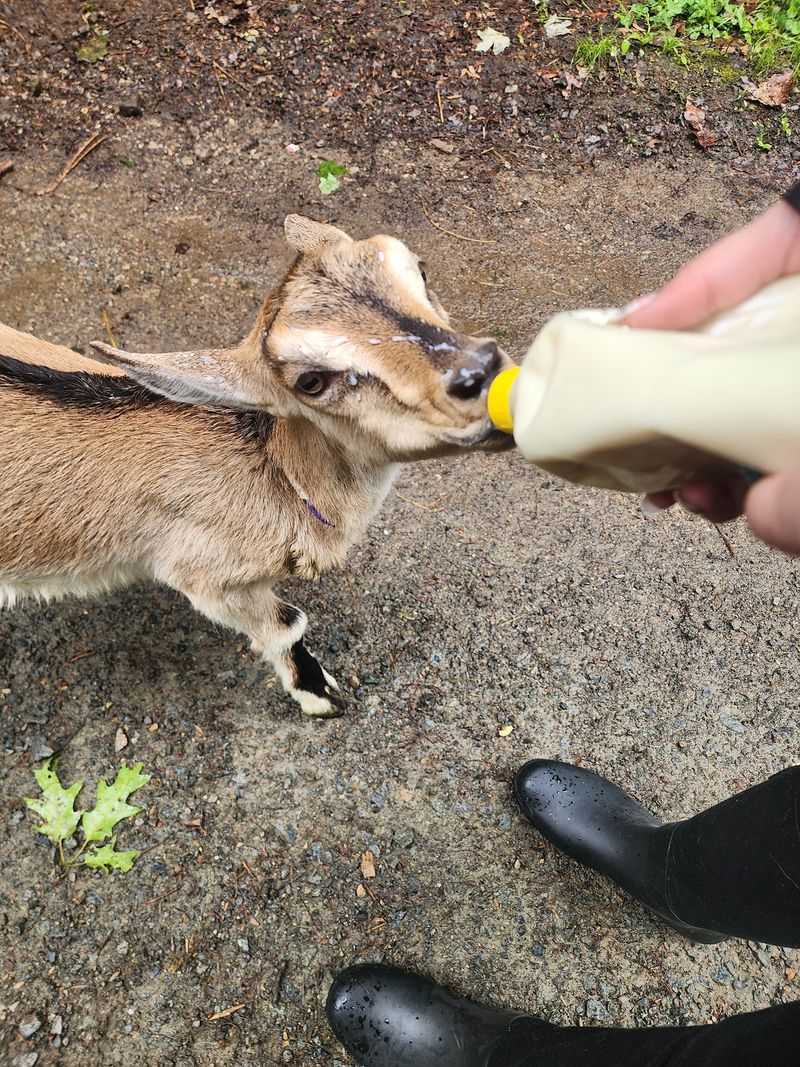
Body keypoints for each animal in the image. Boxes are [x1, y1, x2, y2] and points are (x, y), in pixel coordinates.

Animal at [0, 215, 512, 717]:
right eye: (310, 381)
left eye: (421, 273)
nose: (483, 373)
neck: (275, 470)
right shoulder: (206, 578)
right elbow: (287, 625)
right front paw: (322, 697)